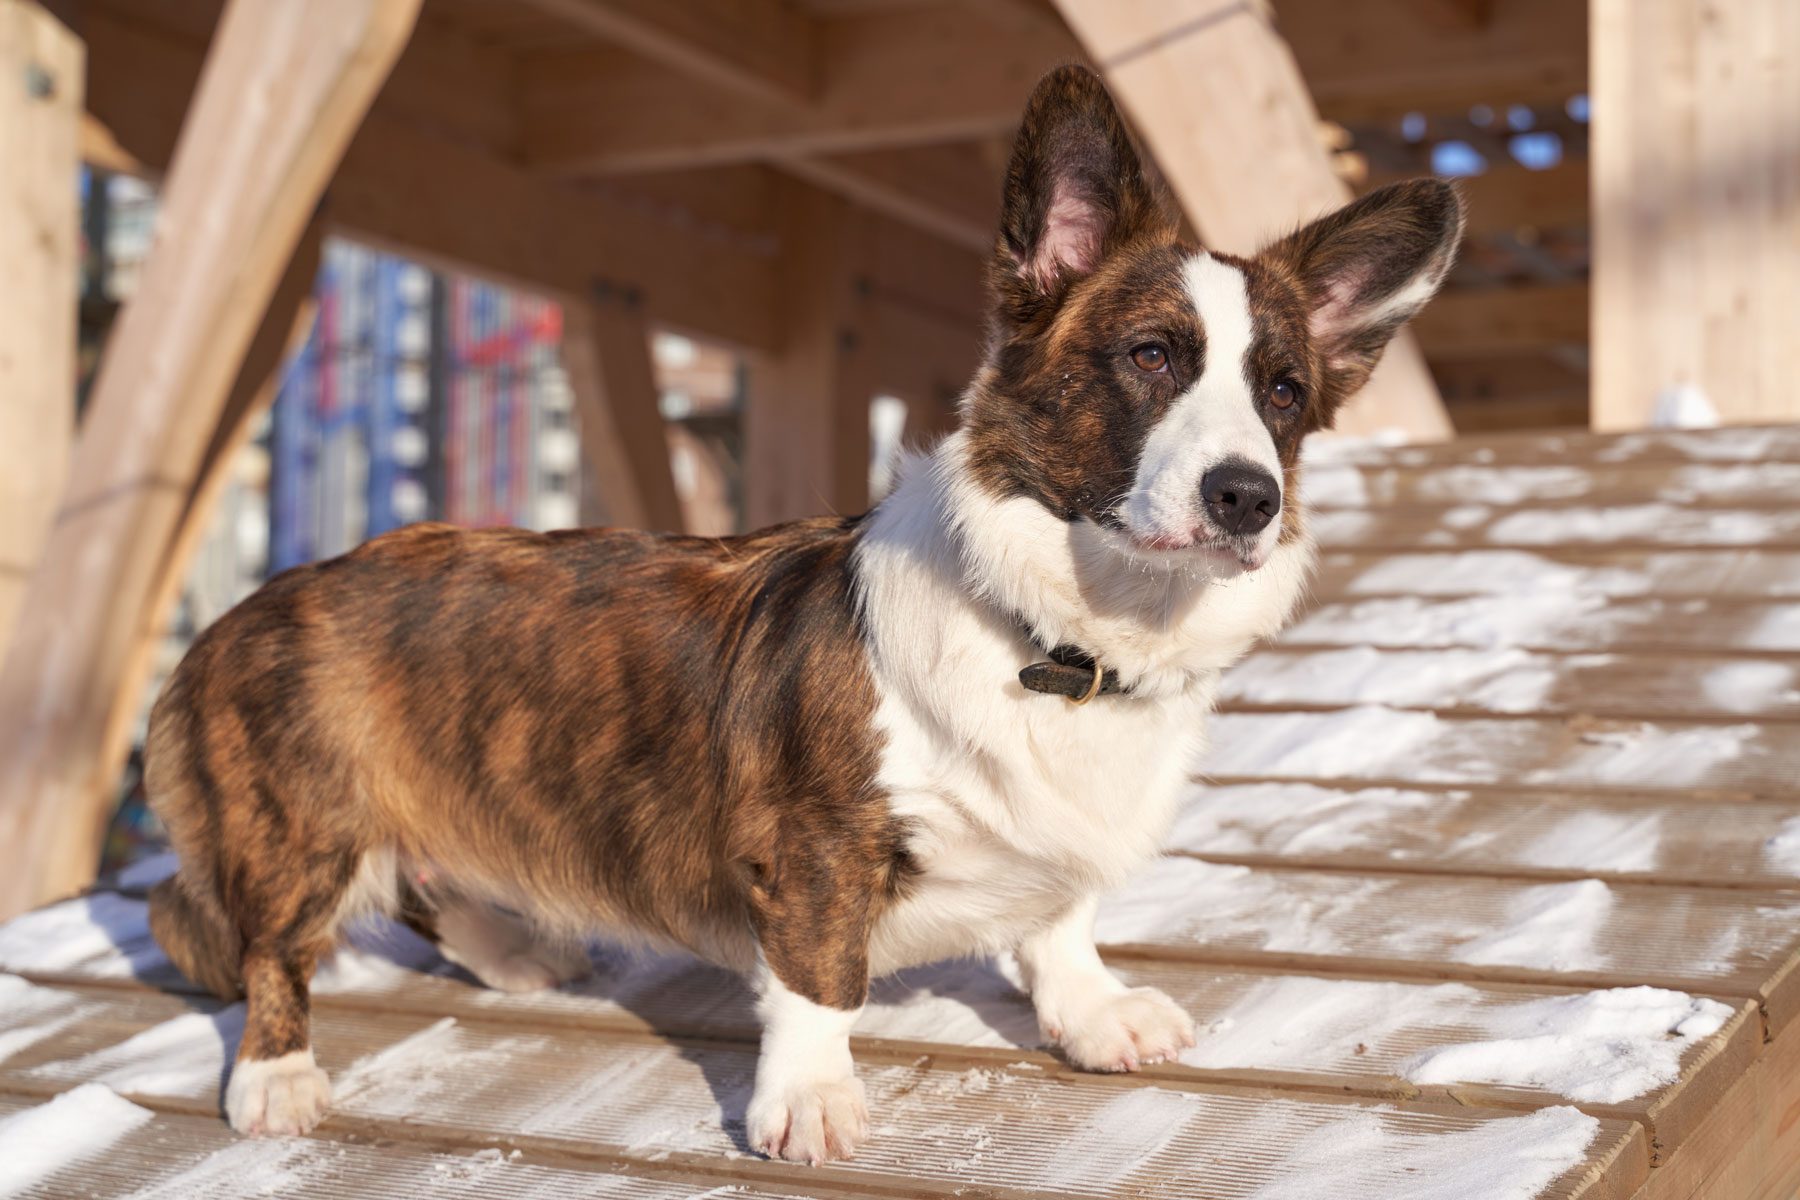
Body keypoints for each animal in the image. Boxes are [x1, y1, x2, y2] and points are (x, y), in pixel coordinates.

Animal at [144, 63, 1461, 1165]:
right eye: (1151, 357)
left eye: (1282, 391)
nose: (1249, 496)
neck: (1069, 641)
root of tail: (247, 606)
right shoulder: (814, 851)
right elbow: (822, 983)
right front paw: (812, 1106)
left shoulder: (1055, 849)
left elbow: (1061, 922)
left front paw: (1091, 1014)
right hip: (302, 827)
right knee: (272, 949)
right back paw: (277, 1078)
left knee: (432, 884)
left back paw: (519, 950)